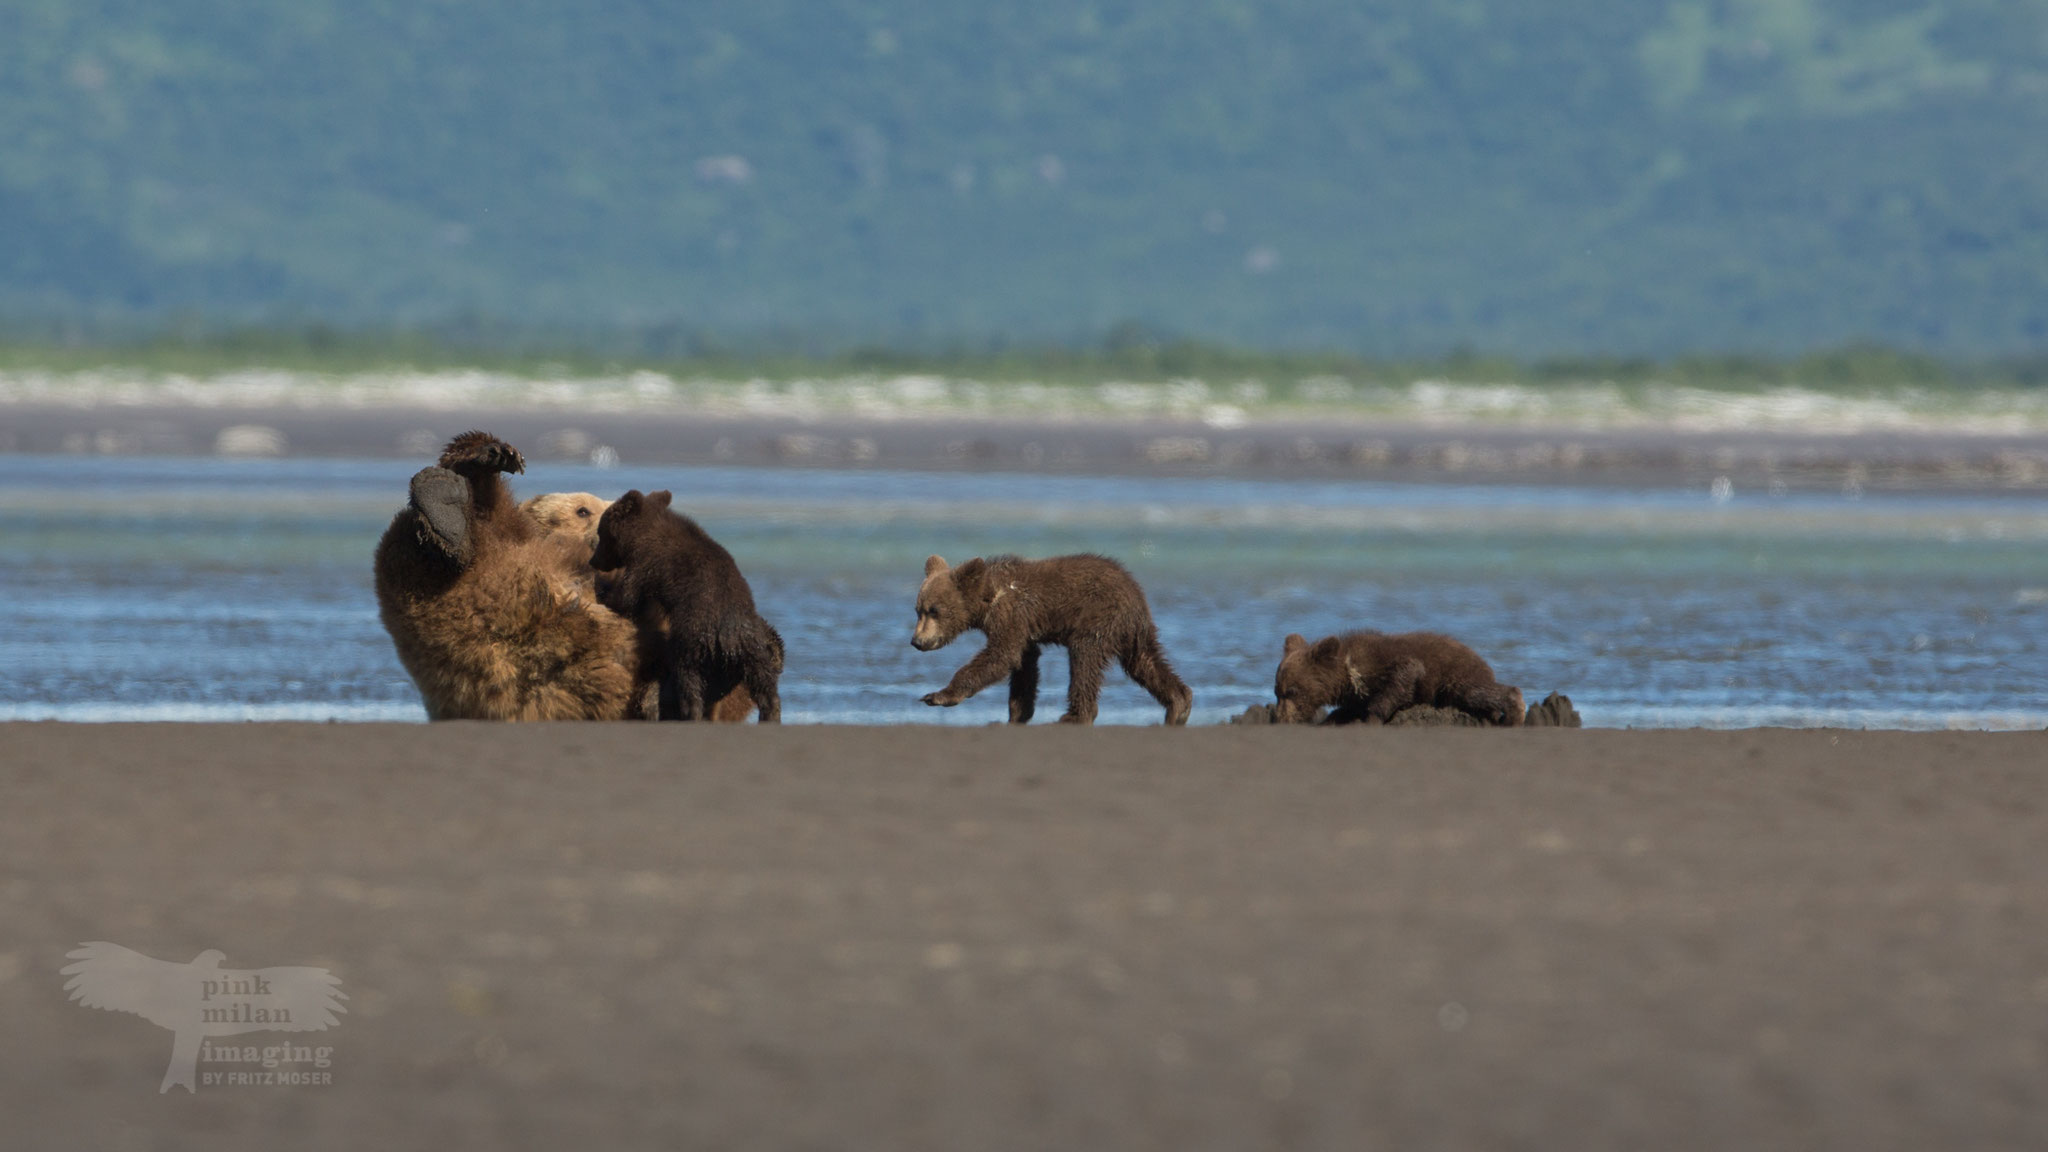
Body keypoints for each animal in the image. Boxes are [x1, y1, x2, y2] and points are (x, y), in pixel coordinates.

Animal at [589, 489, 783, 723]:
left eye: (601, 532)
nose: (593, 561)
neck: (640, 534)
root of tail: (730, 641)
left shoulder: (646, 565)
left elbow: (627, 598)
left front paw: (603, 592)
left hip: (692, 641)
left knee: (688, 680)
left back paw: (690, 712)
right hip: (756, 652)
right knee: (765, 688)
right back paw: (770, 714)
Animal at [913, 553, 1193, 725]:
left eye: (934, 610)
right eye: (918, 610)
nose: (916, 641)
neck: (988, 599)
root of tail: (1136, 595)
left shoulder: (1012, 614)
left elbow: (1001, 655)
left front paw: (938, 695)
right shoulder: (1023, 629)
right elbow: (1024, 666)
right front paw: (1017, 713)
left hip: (1097, 619)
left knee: (1084, 662)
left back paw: (1075, 715)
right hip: (1133, 635)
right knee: (1146, 663)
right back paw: (1179, 705)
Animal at [1271, 630, 1524, 727]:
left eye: (1292, 691)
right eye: (1277, 692)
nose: (1280, 718)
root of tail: (1483, 661)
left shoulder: (1379, 662)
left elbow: (1406, 673)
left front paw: (1374, 715)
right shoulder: (1355, 693)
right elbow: (1348, 710)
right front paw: (1333, 718)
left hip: (1457, 675)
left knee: (1474, 691)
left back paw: (1514, 711)